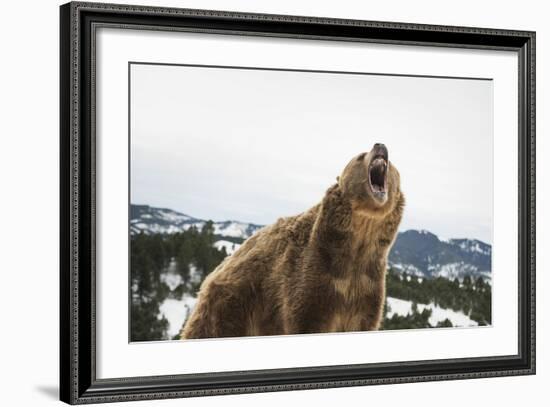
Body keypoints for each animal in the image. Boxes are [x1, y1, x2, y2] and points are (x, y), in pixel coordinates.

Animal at [181, 143, 406, 342]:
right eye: (360, 155)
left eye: (392, 164)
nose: (380, 146)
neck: (358, 241)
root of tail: (215, 272)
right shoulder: (313, 277)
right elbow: (307, 318)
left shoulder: (366, 285)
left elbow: (364, 319)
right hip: (230, 306)